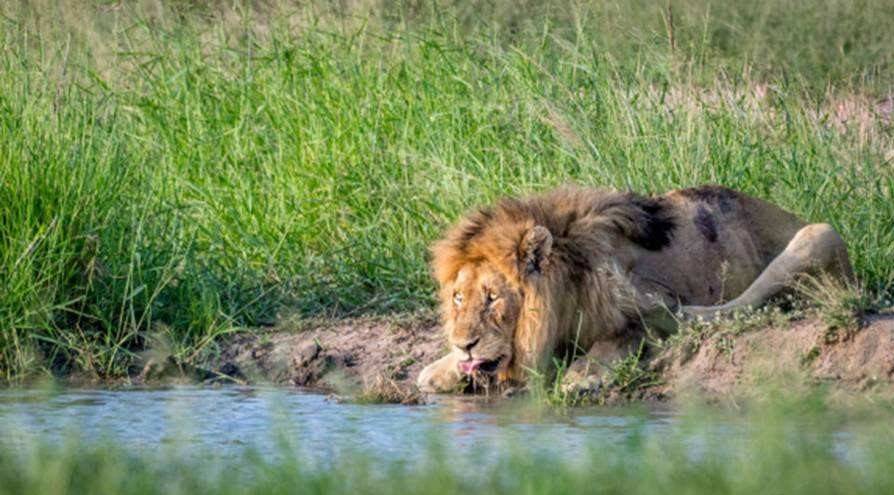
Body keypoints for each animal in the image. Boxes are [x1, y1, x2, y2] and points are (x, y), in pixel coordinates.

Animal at [416, 186, 856, 396]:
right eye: (459, 298)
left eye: (493, 298)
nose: (464, 344)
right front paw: (439, 369)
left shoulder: (646, 304)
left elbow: (618, 338)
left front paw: (581, 377)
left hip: (819, 234)